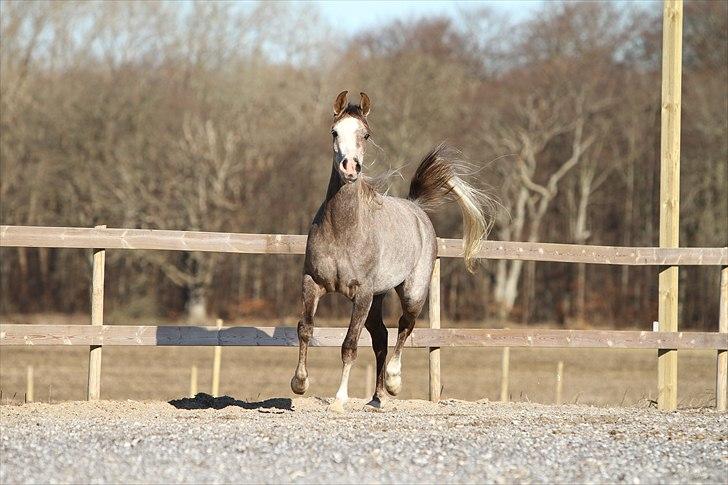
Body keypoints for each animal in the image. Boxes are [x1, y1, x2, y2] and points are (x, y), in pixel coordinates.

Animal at [288, 90, 490, 408]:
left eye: (366, 135)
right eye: (334, 131)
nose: (350, 167)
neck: (343, 229)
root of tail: (417, 209)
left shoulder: (361, 294)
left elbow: (349, 344)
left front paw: (339, 401)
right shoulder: (312, 283)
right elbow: (305, 329)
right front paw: (300, 383)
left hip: (411, 291)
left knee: (405, 325)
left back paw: (394, 382)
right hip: (378, 297)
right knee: (381, 337)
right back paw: (376, 398)